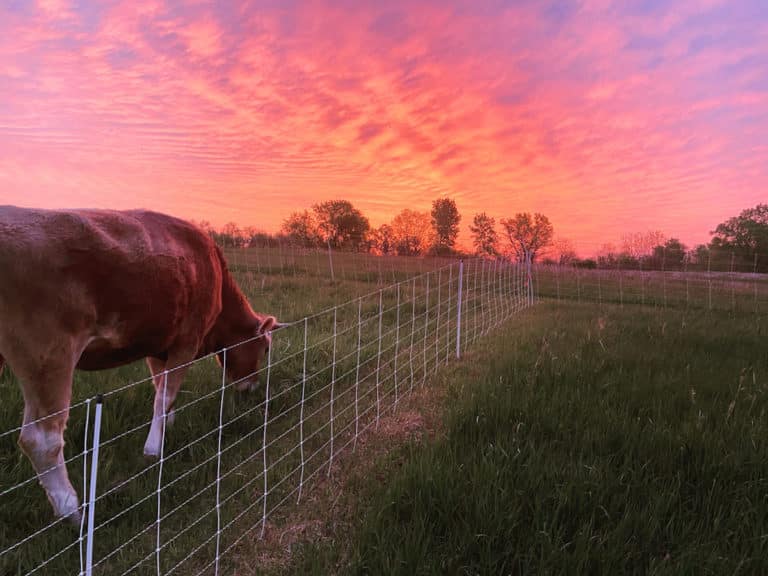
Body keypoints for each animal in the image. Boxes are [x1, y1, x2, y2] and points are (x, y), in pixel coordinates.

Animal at [0, 206, 281, 523]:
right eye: (266, 348)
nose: (252, 387)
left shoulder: (157, 348)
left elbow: (162, 391)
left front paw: (166, 423)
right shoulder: (187, 340)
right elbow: (165, 395)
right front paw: (153, 449)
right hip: (48, 355)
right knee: (40, 439)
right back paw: (72, 511)